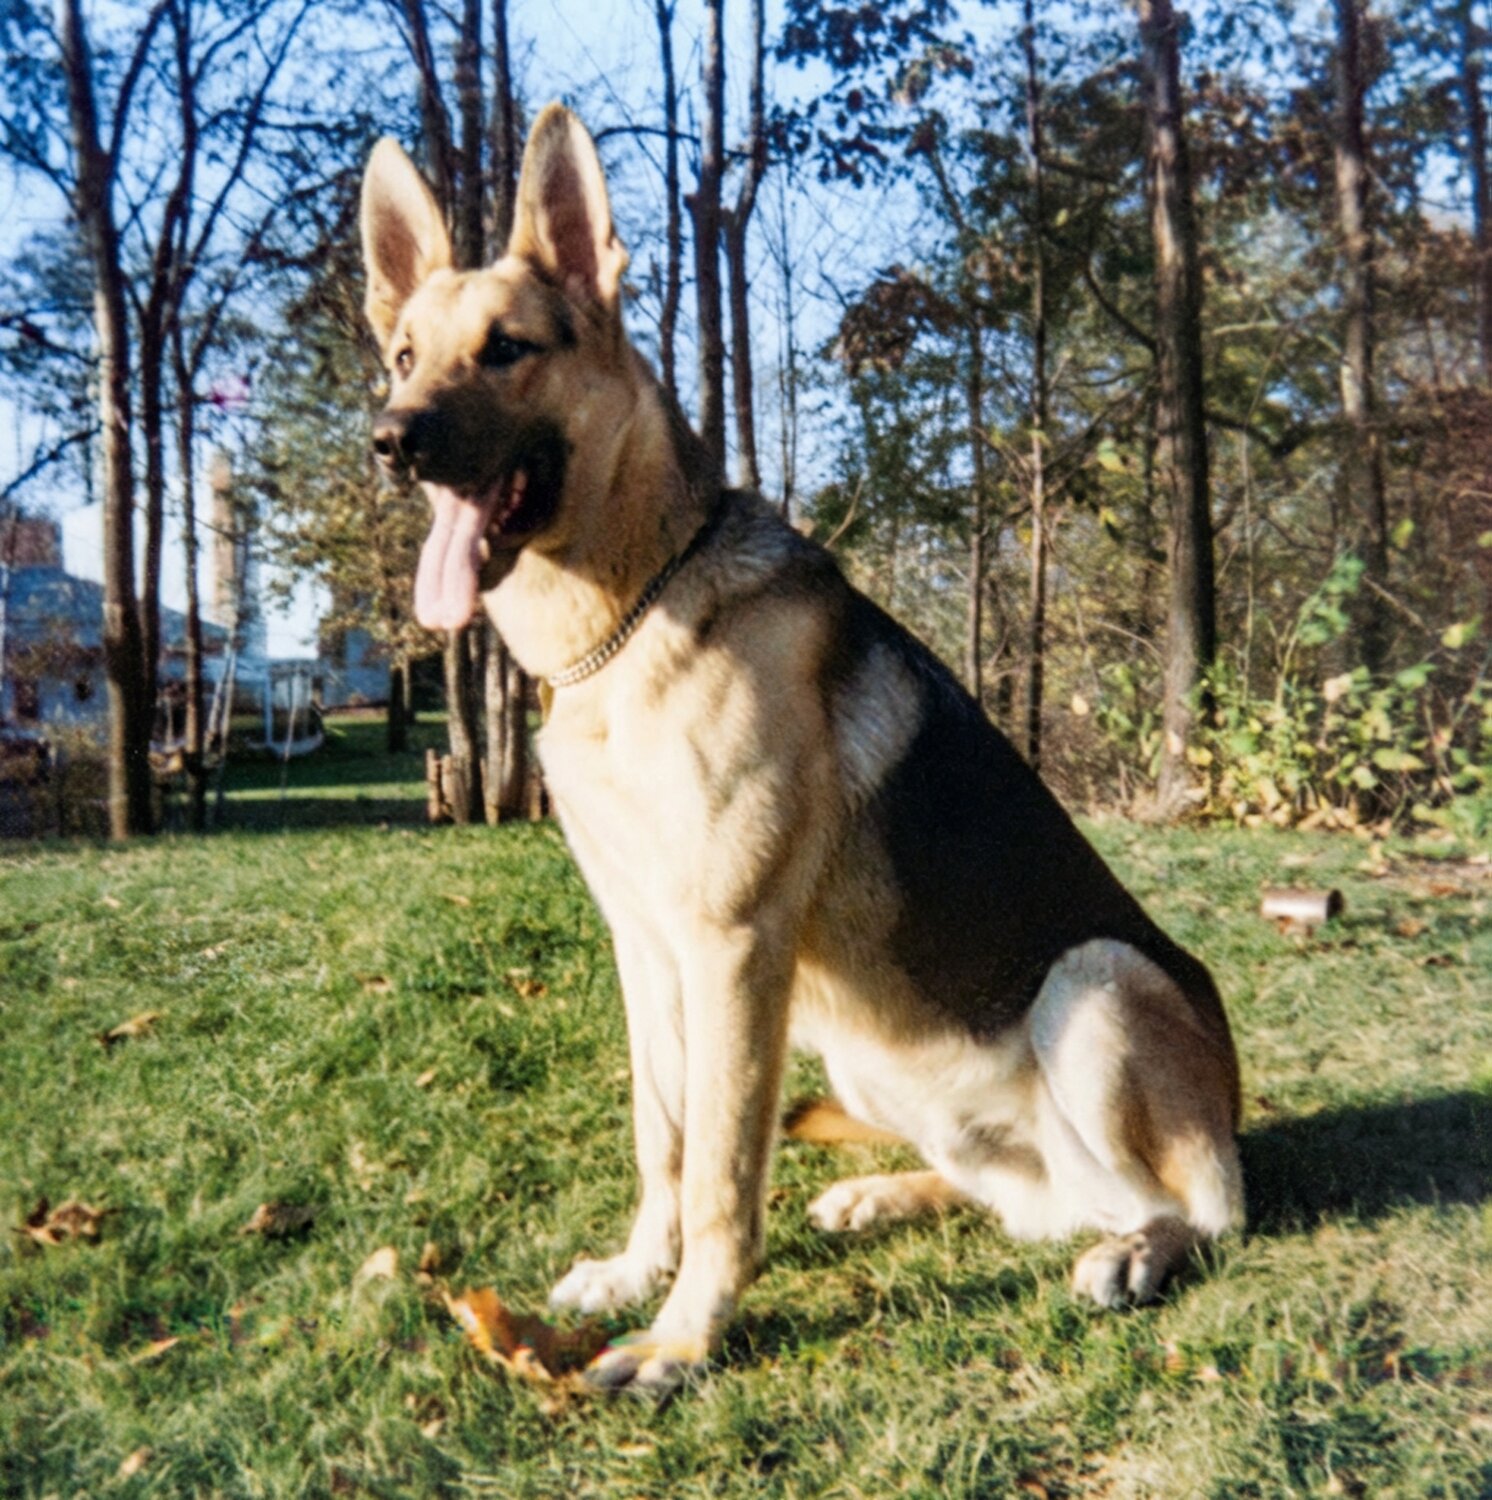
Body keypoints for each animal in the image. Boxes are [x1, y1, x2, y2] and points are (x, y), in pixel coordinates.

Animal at [360, 104, 1243, 1394]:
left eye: (507, 349)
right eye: (404, 358)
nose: (392, 440)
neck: (627, 628)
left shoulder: (732, 949)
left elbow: (723, 1174)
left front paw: (683, 1336)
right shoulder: (648, 953)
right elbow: (665, 1140)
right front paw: (636, 1272)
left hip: (1092, 983)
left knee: (1200, 1209)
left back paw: (1140, 1248)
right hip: (866, 1052)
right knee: (1027, 1202)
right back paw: (890, 1193)